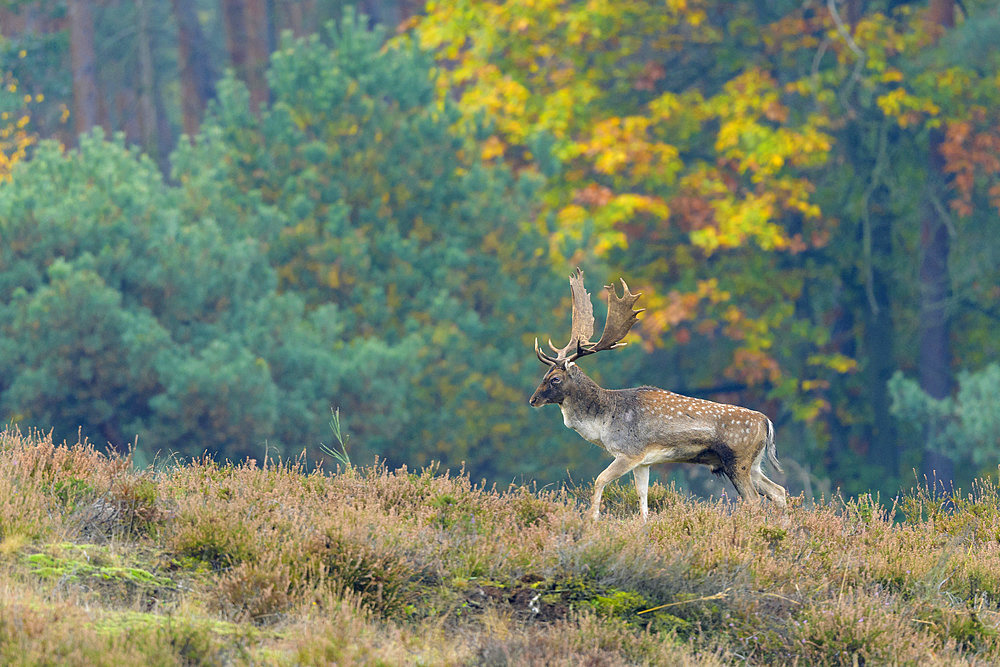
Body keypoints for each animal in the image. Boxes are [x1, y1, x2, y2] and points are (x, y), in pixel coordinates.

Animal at [532, 268, 788, 520]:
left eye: (555, 379)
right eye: (545, 374)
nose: (533, 400)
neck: (603, 422)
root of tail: (766, 422)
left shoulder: (628, 452)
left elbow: (599, 481)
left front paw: (592, 520)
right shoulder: (643, 462)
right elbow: (642, 498)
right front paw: (645, 525)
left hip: (738, 460)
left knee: (754, 502)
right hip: (753, 464)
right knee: (779, 491)